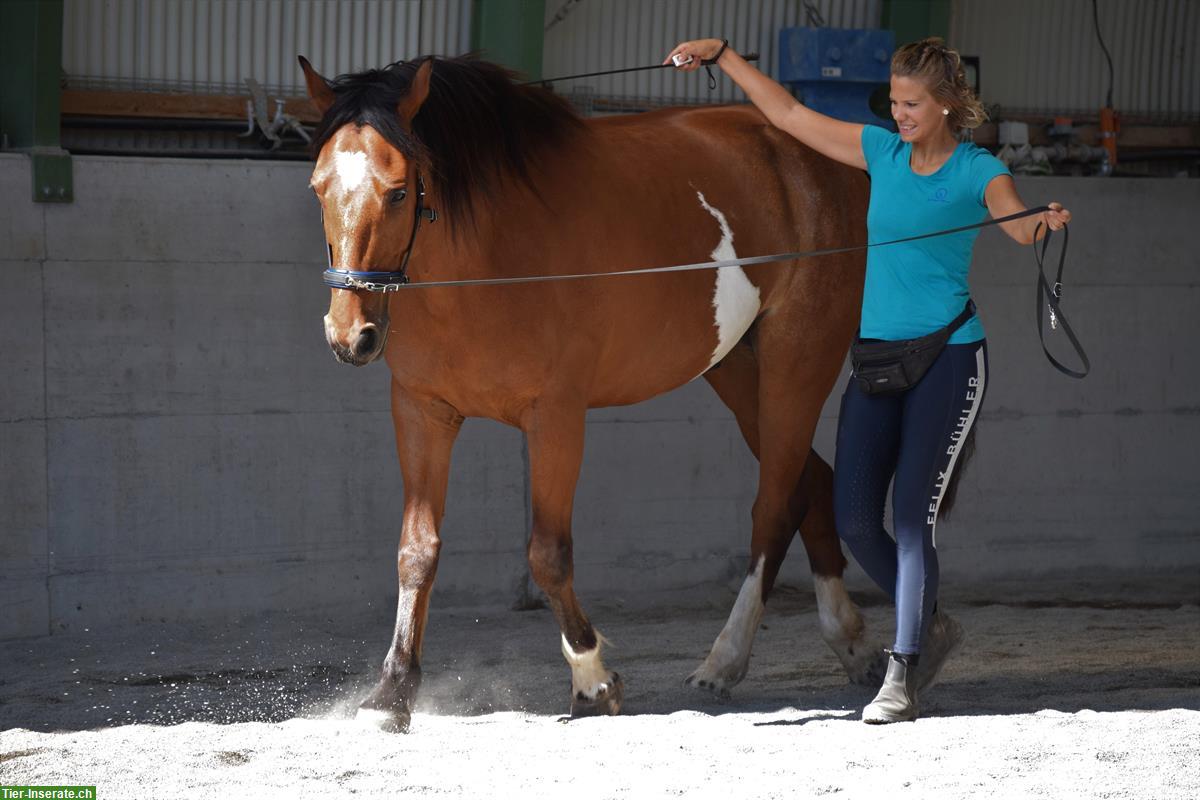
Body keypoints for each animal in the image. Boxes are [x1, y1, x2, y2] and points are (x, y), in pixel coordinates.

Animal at [297, 54, 883, 734]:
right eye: (318, 188)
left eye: (397, 191)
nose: (350, 337)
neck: (488, 257)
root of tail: (822, 156)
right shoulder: (421, 411)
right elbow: (416, 552)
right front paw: (391, 692)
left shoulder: (556, 417)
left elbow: (548, 554)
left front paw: (593, 677)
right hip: (739, 372)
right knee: (809, 483)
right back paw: (850, 641)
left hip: (798, 362)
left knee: (774, 506)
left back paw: (725, 659)